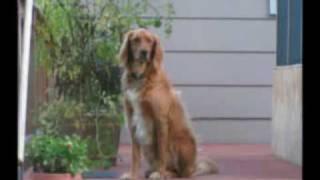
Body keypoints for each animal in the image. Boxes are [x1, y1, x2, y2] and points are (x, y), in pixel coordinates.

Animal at [119, 28, 219, 179]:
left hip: (179, 143)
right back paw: (151, 171)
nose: (144, 52)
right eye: (136, 39)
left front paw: (159, 174)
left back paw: (164, 173)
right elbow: (134, 155)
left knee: (181, 172)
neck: (140, 76)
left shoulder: (160, 119)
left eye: (150, 41)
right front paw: (132, 175)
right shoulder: (131, 119)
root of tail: (194, 166)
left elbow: (161, 153)